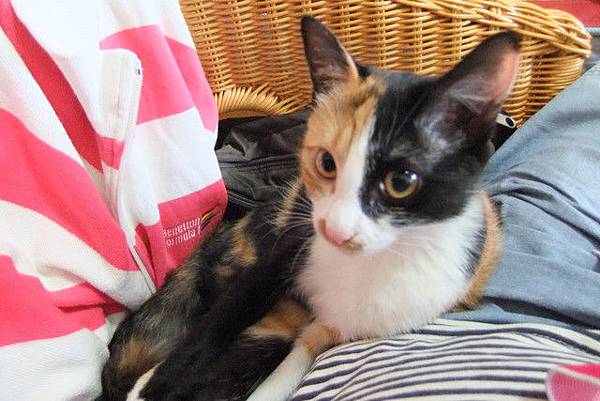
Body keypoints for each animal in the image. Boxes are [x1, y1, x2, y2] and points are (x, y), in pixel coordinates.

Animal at [99, 16, 519, 401]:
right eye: (326, 163)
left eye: (401, 182)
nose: (336, 230)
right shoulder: (279, 255)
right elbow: (221, 320)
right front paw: (154, 386)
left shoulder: (347, 324)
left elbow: (297, 360)